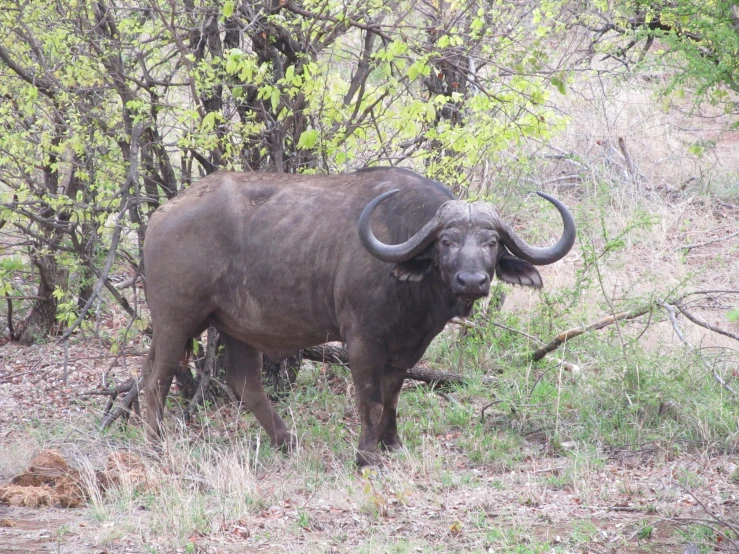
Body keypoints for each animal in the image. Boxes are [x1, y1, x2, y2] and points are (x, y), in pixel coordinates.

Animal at [142, 166, 576, 464]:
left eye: (491, 242)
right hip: (174, 320)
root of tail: (160, 215)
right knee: (156, 378)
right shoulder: (362, 340)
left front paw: (392, 444)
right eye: (446, 241)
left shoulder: (409, 347)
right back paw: (156, 444)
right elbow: (370, 397)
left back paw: (287, 441)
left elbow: (393, 394)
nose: (471, 280)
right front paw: (367, 455)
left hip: (237, 328)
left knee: (245, 382)